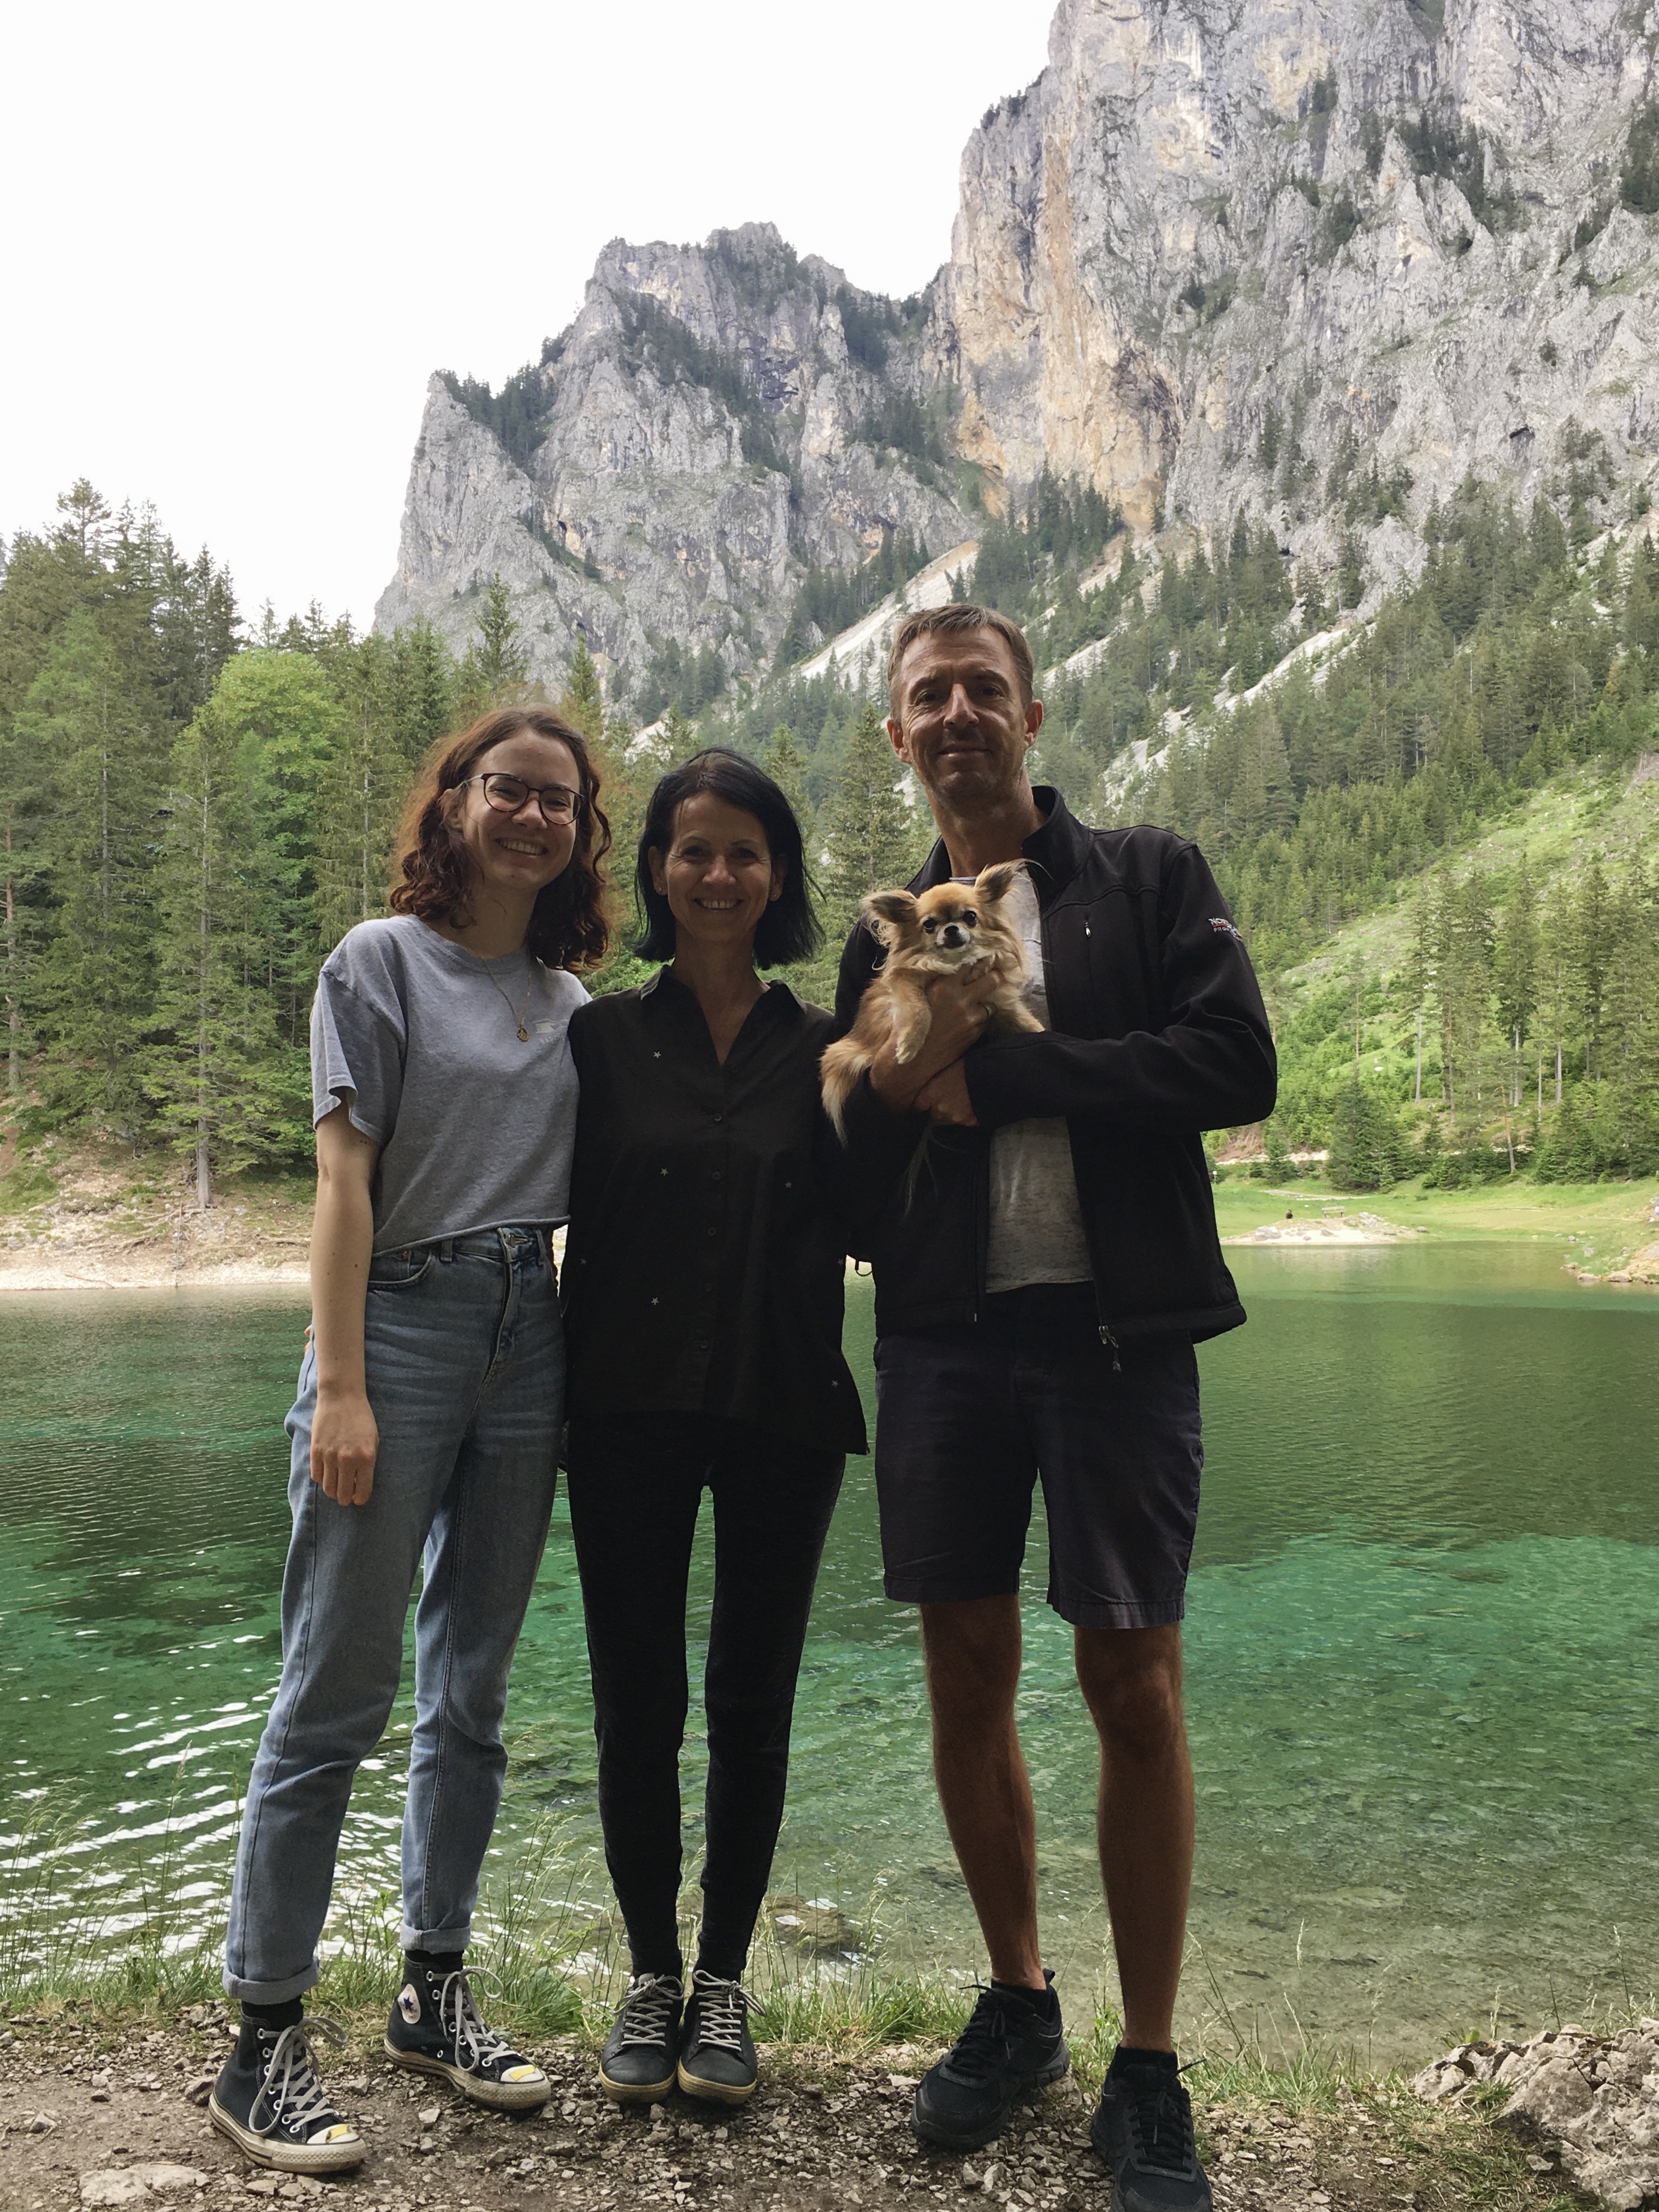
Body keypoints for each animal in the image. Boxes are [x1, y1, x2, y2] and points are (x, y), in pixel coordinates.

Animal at [820, 861, 1043, 1138]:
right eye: (929, 925)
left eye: (970, 917)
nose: (951, 929)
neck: (957, 962)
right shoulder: (904, 982)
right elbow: (920, 1010)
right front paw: (909, 1045)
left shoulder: (998, 1002)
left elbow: (1026, 1022)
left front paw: (1043, 1034)